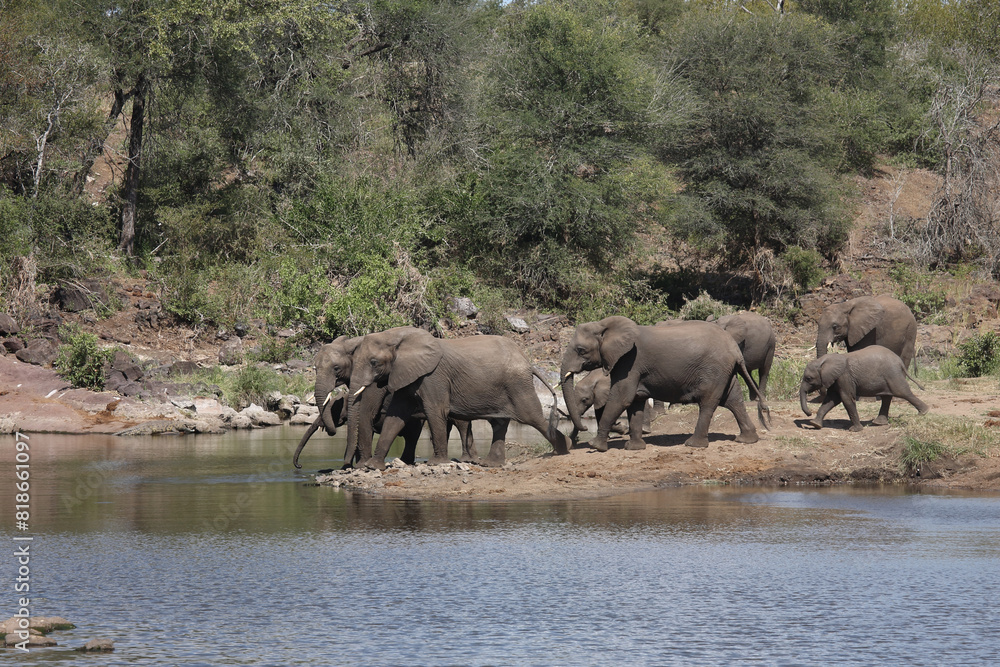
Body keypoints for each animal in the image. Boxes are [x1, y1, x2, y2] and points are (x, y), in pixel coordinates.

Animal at [292, 336, 473, 469]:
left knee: (459, 424)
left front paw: (360, 465)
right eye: (315, 369)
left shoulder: (373, 381)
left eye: (336, 368)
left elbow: (364, 413)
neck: (351, 343)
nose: (299, 466)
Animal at [346, 327, 570, 470]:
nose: (352, 464)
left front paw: (436, 464)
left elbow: (436, 411)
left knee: (532, 416)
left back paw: (565, 448)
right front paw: (373, 467)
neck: (397, 335)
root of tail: (528, 362)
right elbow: (395, 417)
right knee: (499, 423)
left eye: (374, 362)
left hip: (518, 384)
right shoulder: (407, 376)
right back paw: (490, 464)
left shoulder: (433, 377)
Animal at [561, 316, 769, 451]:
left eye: (581, 350)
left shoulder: (630, 361)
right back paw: (747, 440)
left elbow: (621, 398)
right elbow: (635, 402)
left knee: (709, 403)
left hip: (714, 370)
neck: (605, 325)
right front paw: (634, 448)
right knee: (733, 400)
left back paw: (694, 444)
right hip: (725, 371)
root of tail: (734, 347)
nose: (583, 431)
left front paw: (595, 446)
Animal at [799, 345, 929, 431]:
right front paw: (815, 424)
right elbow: (831, 400)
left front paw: (855, 430)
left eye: (809, 378)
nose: (809, 413)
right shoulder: (836, 379)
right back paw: (878, 423)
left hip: (893, 375)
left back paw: (924, 412)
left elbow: (846, 398)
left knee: (903, 392)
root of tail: (900, 362)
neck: (824, 361)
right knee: (887, 397)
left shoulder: (844, 376)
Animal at [815, 295, 917, 426]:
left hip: (910, 331)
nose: (822, 394)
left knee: (904, 359)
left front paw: (865, 399)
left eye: (835, 326)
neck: (845, 306)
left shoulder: (869, 331)